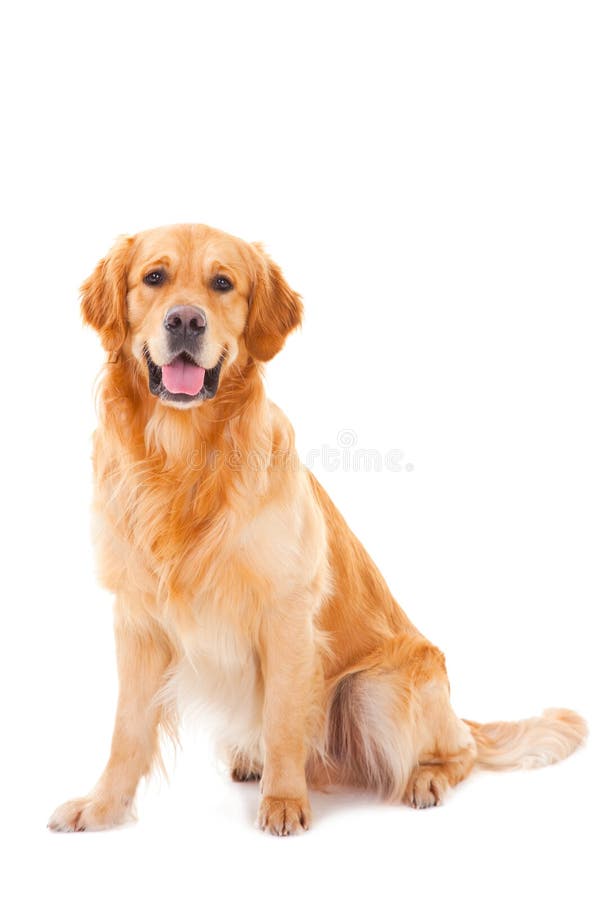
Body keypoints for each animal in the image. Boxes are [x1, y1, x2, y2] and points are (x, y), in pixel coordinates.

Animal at [48, 225, 584, 836]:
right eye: (153, 278)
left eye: (222, 283)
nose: (185, 321)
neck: (184, 456)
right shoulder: (136, 618)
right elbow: (127, 731)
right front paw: (102, 807)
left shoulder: (287, 612)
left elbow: (283, 719)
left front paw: (284, 802)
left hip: (373, 687)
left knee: (461, 752)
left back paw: (424, 777)